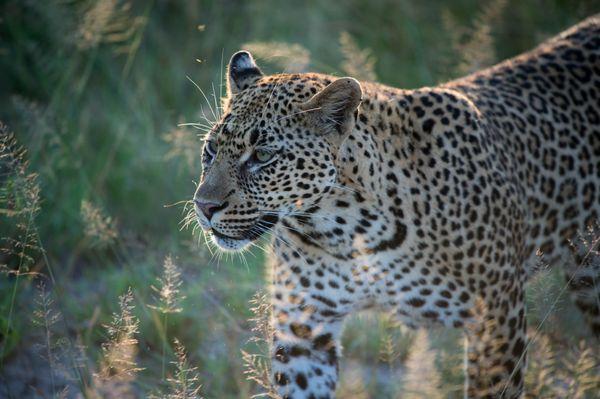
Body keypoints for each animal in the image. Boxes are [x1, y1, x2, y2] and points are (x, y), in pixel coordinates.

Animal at [192, 17, 600, 399]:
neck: (343, 228)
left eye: (262, 156)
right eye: (211, 149)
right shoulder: (303, 332)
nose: (204, 206)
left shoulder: (497, 321)